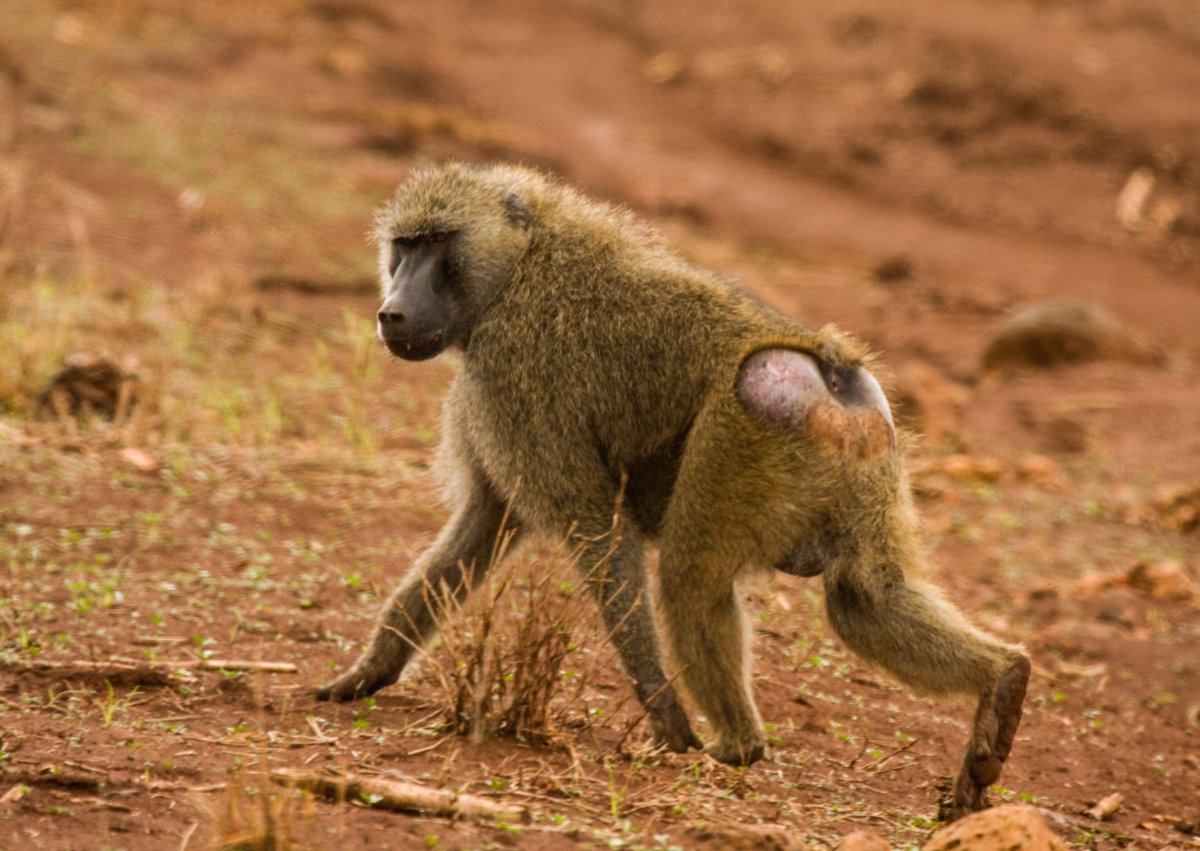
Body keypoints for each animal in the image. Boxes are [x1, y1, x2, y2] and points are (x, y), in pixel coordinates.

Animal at [316, 162, 1030, 821]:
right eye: (404, 246)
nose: (391, 310)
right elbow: (479, 529)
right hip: (866, 453)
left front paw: (666, 716)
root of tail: (825, 367)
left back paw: (736, 746)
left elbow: (595, 528)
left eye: (439, 243)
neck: (519, 264)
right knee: (864, 598)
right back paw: (1001, 686)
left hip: (741, 433)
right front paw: (367, 673)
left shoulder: (513, 369)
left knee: (690, 579)